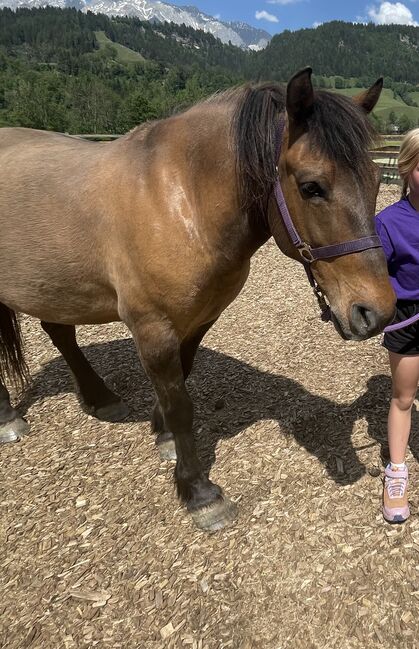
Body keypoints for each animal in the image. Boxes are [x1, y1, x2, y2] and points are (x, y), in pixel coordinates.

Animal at [0, 68, 395, 531]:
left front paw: (164, 436)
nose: (377, 312)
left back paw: (101, 399)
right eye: (312, 187)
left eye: (375, 181)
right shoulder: (153, 328)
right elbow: (180, 403)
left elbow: (182, 382)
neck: (181, 199)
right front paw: (198, 491)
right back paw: (8, 418)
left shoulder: (199, 319)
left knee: (59, 331)